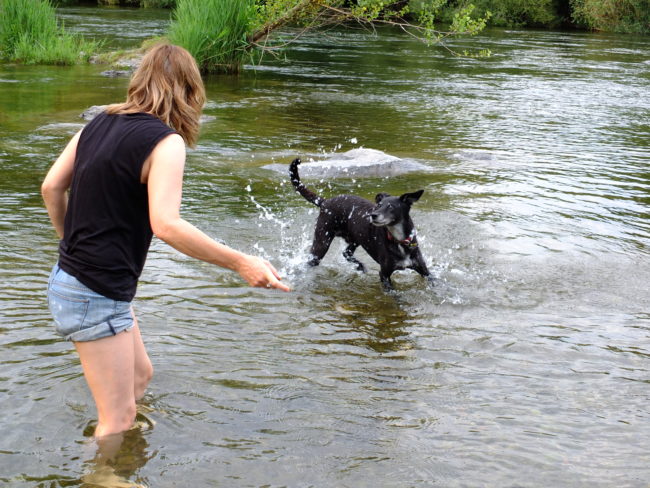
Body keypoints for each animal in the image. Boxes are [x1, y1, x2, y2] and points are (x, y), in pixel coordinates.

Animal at [288, 159, 430, 290]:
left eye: (390, 207)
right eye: (378, 205)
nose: (373, 215)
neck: (398, 239)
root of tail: (325, 201)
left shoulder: (424, 270)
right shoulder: (384, 274)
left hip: (356, 238)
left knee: (346, 253)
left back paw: (360, 266)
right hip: (322, 241)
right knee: (314, 260)